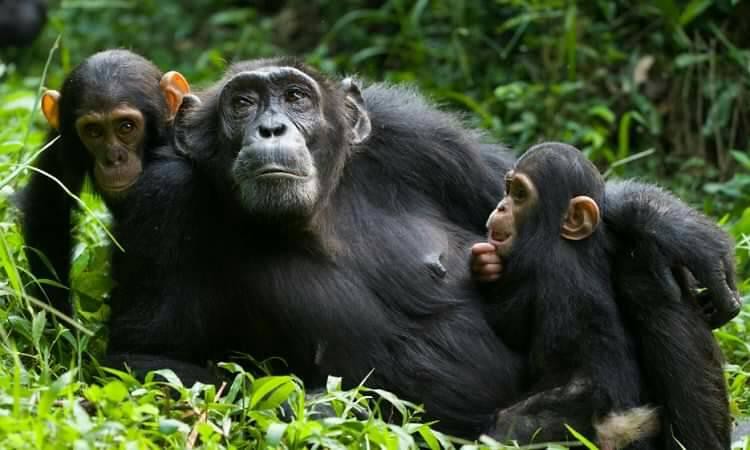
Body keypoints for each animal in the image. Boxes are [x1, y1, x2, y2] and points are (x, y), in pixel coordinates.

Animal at [17, 49, 189, 314]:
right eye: (93, 131)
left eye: (126, 127)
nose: (113, 158)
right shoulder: (60, 139)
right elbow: (49, 210)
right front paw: (57, 317)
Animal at [472, 143, 732, 446]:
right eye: (507, 188)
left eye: (520, 194)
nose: (501, 206)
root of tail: (620, 422)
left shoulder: (537, 265)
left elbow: (508, 324)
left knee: (512, 426)